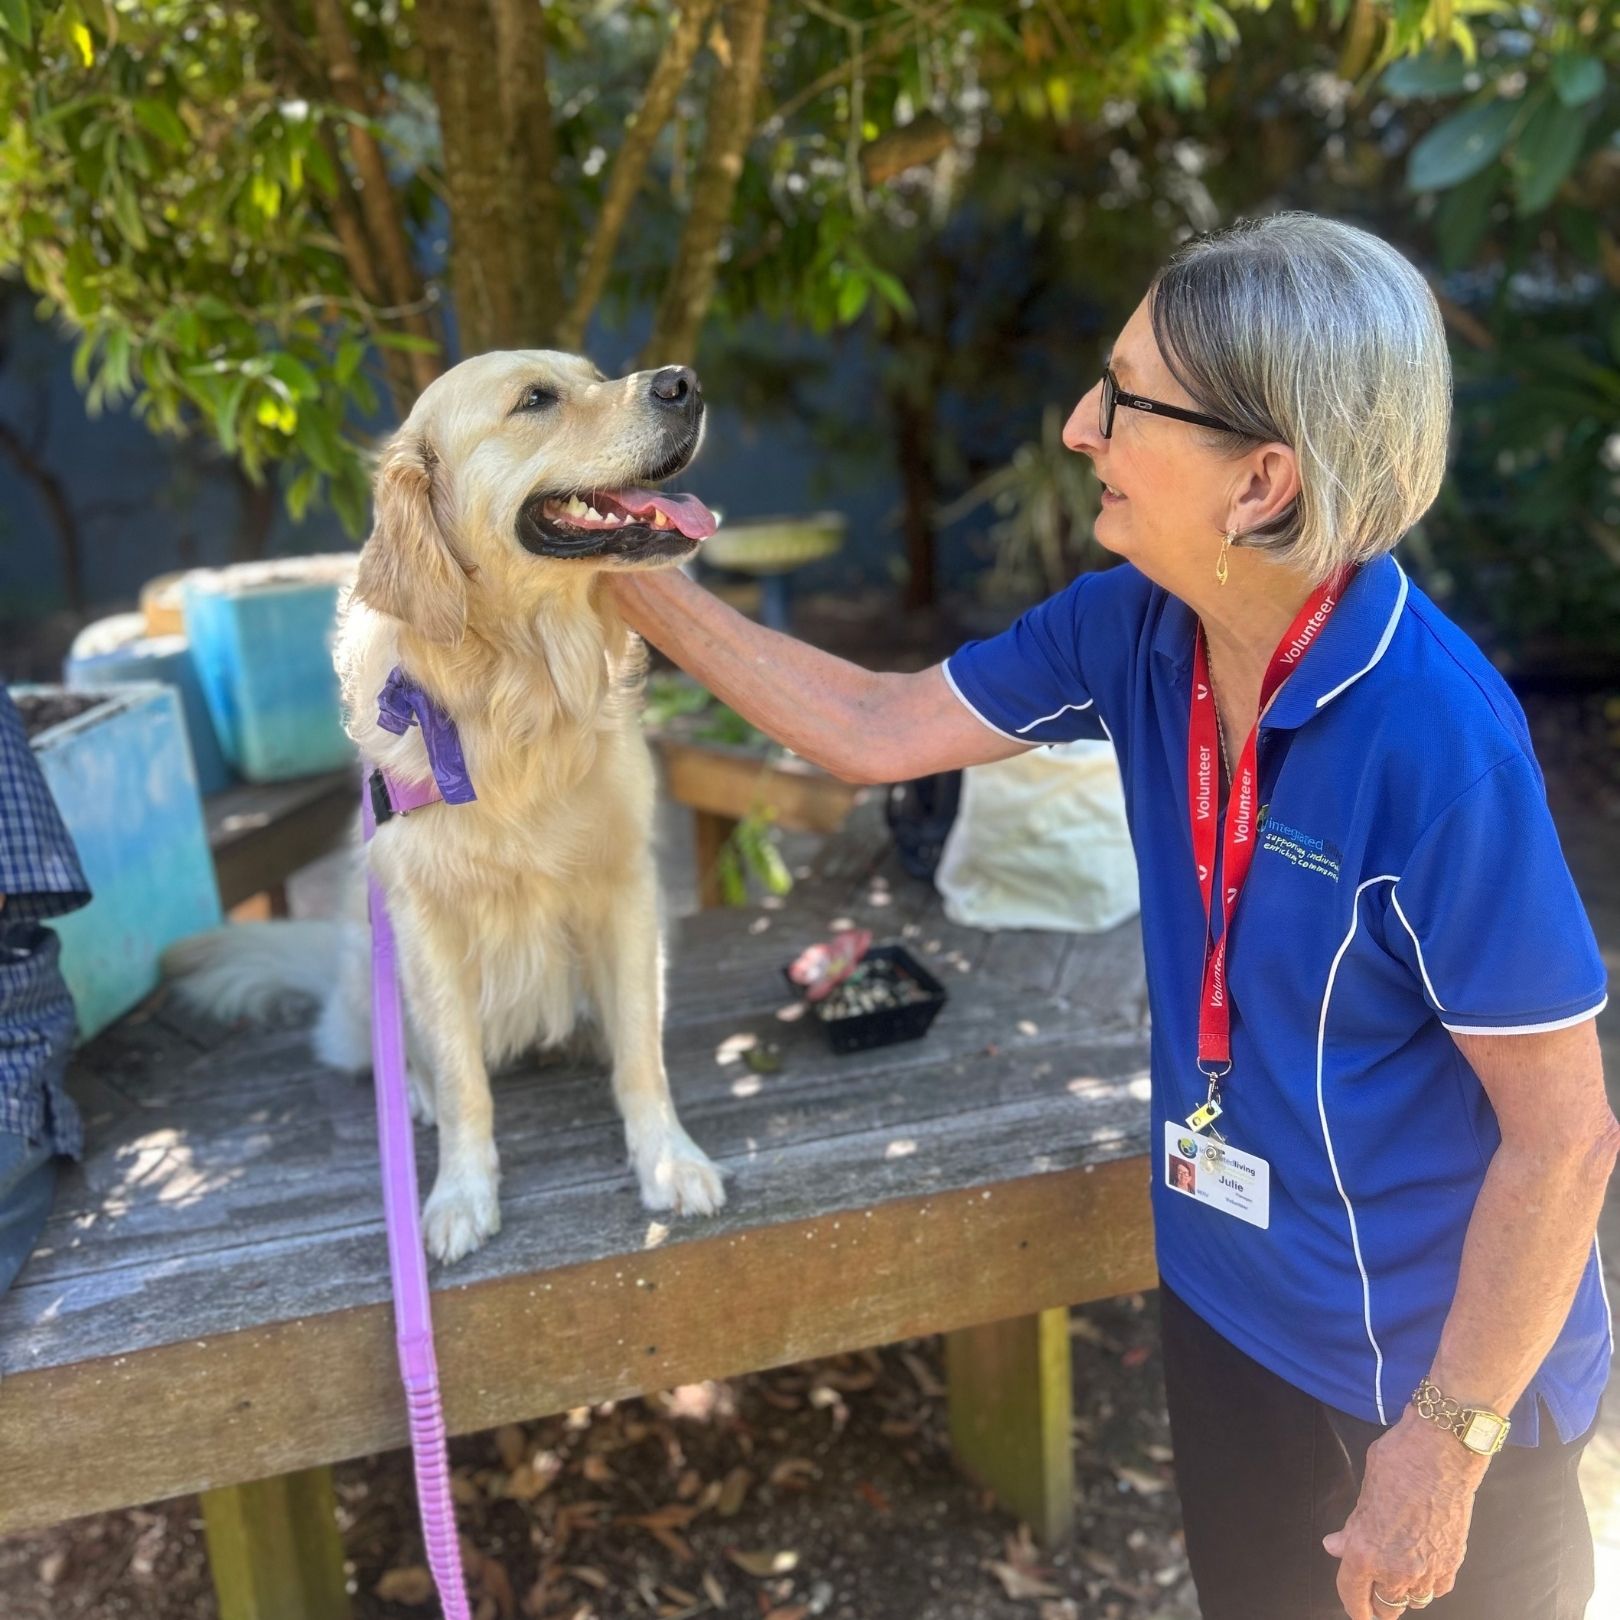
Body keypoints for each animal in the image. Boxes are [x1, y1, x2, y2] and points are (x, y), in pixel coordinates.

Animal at [166, 351, 727, 1263]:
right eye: (534, 399)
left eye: (594, 373)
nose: (683, 381)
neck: (521, 687)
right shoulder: (426, 920)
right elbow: (465, 1078)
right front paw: (461, 1192)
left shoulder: (626, 890)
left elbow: (642, 1052)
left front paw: (668, 1159)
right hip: (372, 959)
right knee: (406, 1056)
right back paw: (416, 1095)